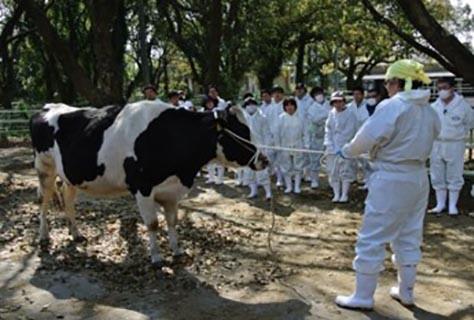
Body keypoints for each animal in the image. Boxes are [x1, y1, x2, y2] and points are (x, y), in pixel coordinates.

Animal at [29, 101, 266, 266]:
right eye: (242, 132)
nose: (264, 159)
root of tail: (48, 107)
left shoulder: (171, 191)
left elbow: (172, 222)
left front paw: (177, 251)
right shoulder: (141, 188)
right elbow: (152, 224)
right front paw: (157, 258)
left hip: (70, 176)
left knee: (67, 200)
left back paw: (76, 233)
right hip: (44, 168)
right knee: (44, 201)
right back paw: (43, 237)